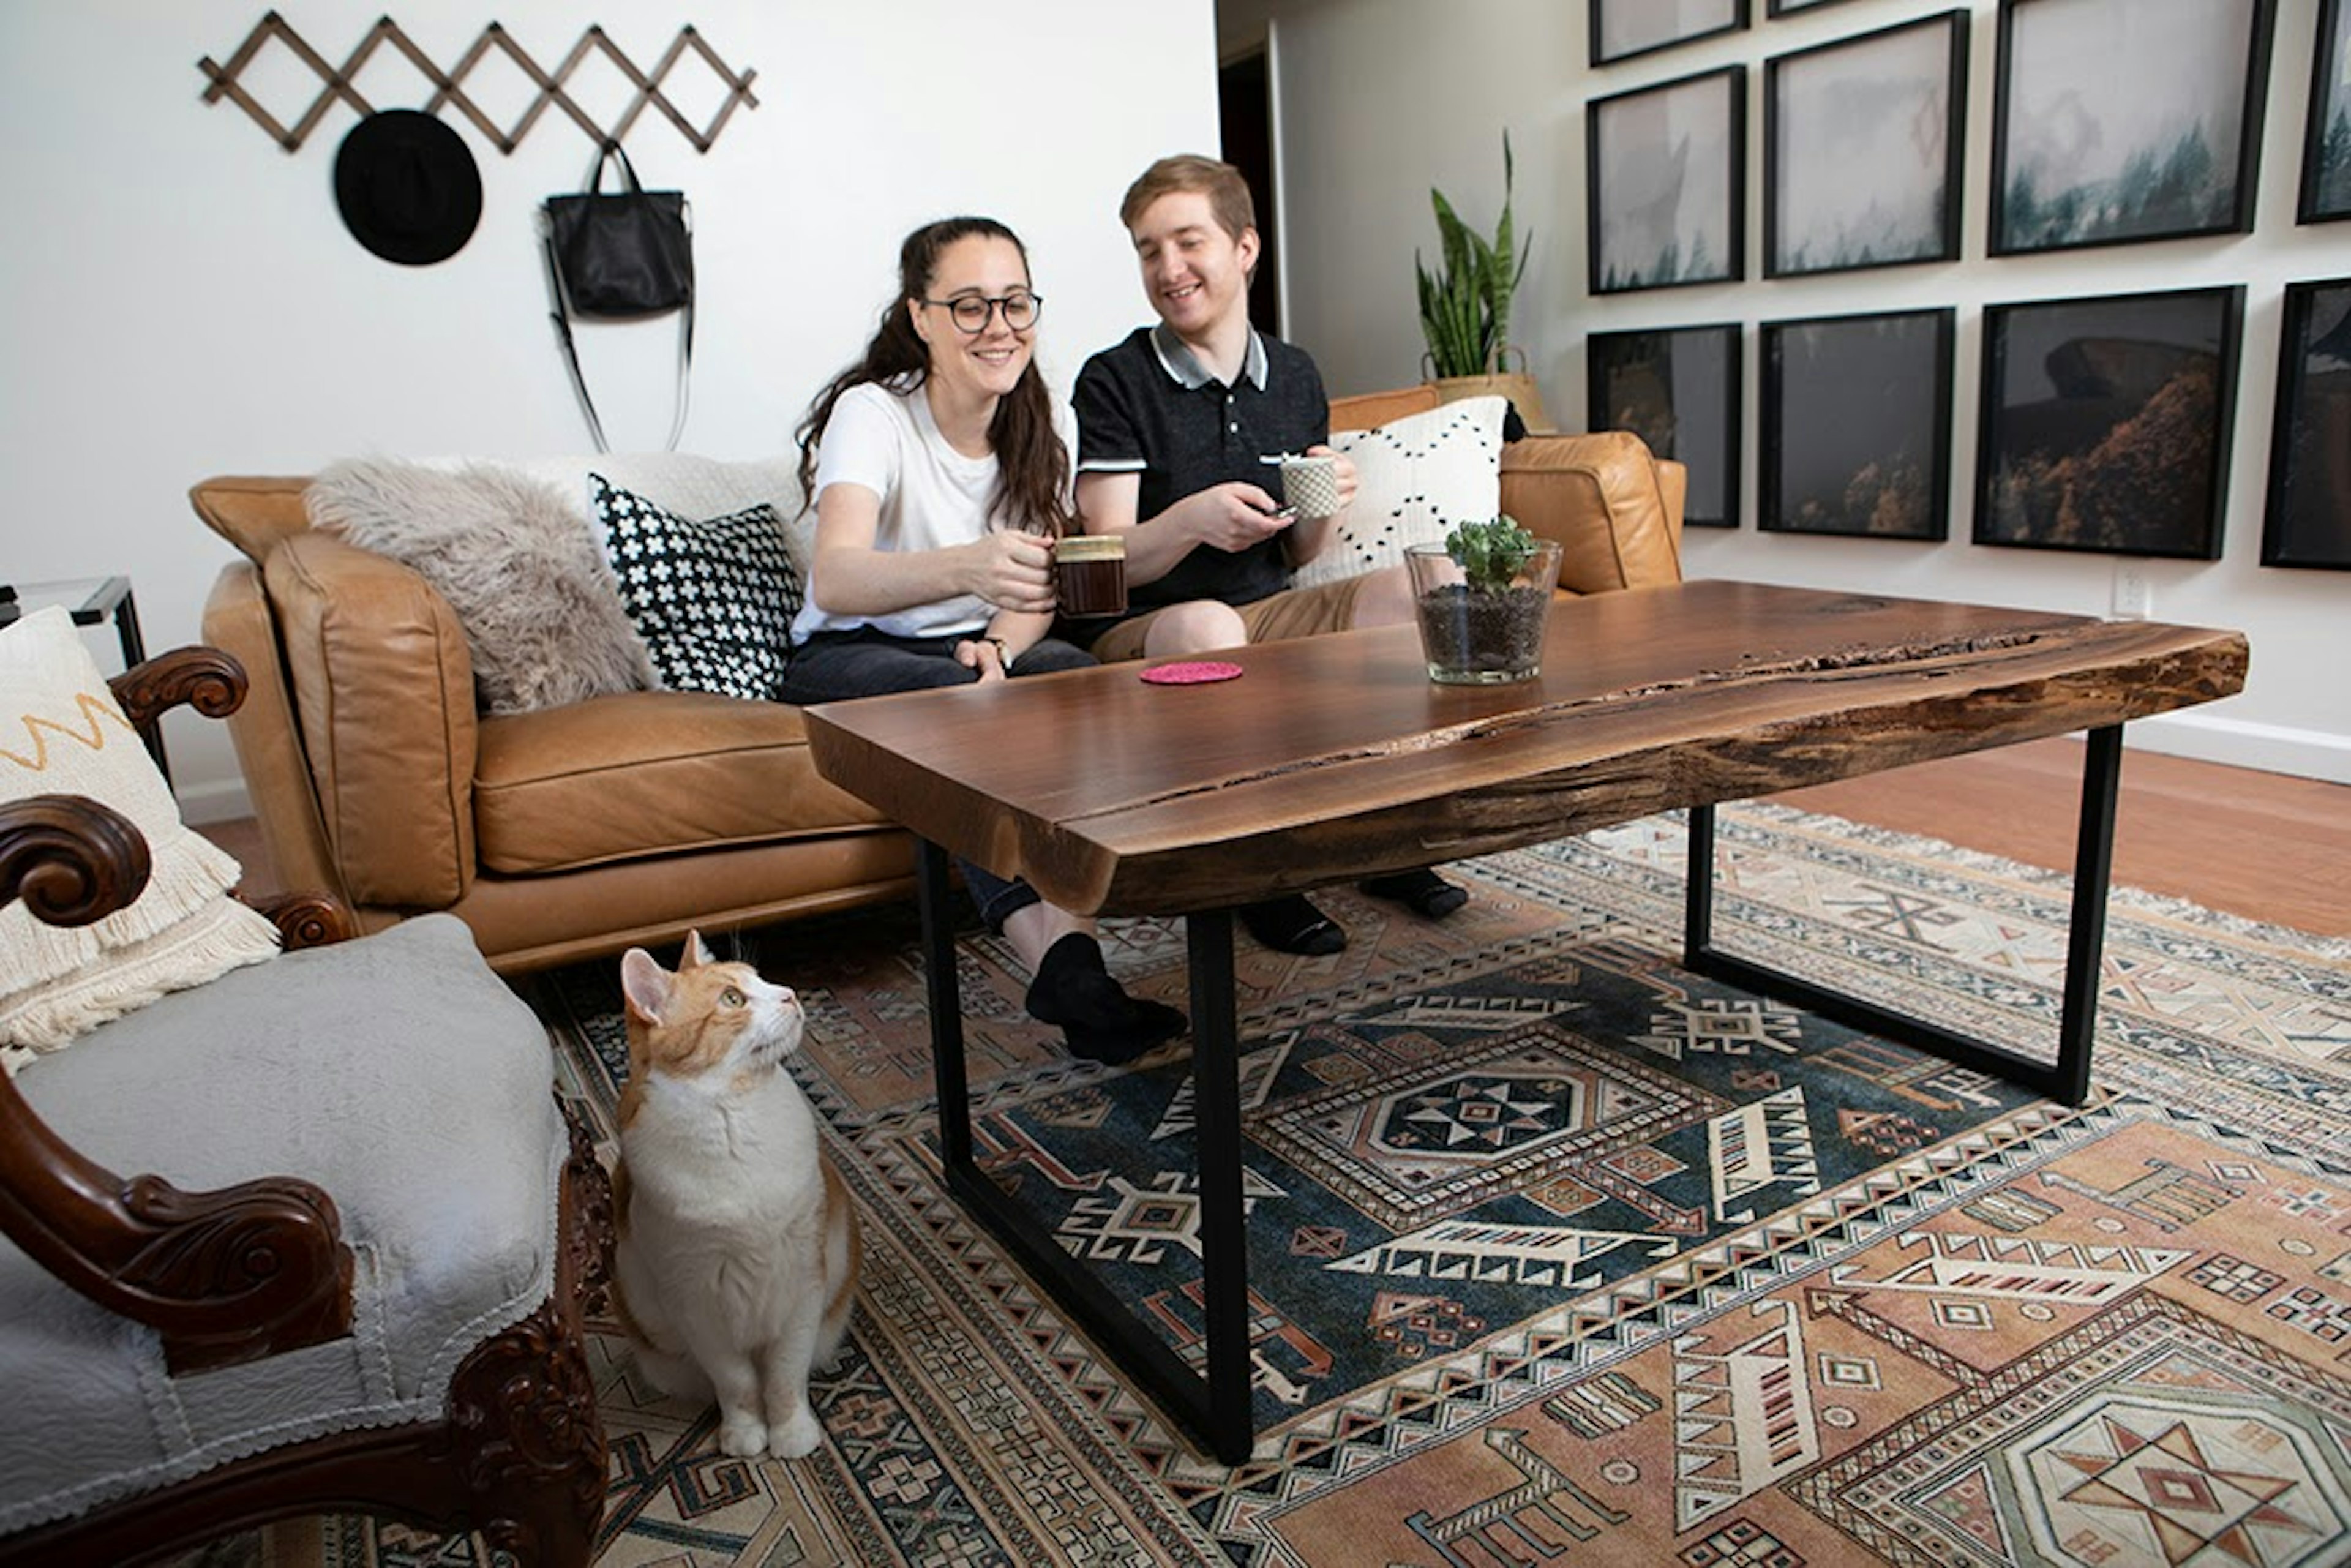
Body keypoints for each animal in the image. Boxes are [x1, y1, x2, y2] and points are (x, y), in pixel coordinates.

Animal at [611, 931, 860, 1457]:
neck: (736, 1118)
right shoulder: (696, 1302)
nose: (790, 993)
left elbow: (785, 1376)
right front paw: (746, 1433)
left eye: (761, 979)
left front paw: (791, 1433)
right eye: (732, 999)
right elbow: (738, 1384)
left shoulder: (803, 1279)